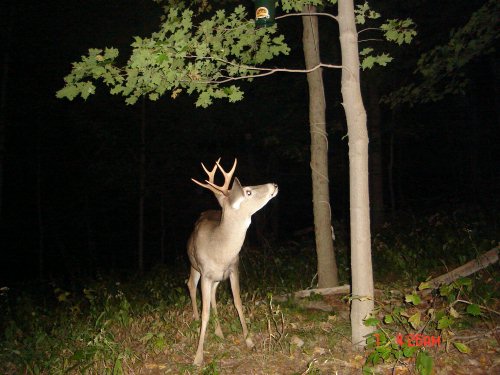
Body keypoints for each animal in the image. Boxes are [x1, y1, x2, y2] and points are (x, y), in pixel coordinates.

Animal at [188, 159, 278, 368]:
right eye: (248, 191)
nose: (274, 185)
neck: (220, 250)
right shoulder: (205, 273)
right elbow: (205, 313)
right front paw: (198, 357)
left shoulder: (233, 269)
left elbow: (237, 302)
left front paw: (249, 341)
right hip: (195, 267)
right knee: (190, 284)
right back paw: (195, 318)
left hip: (217, 279)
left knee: (213, 296)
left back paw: (219, 332)